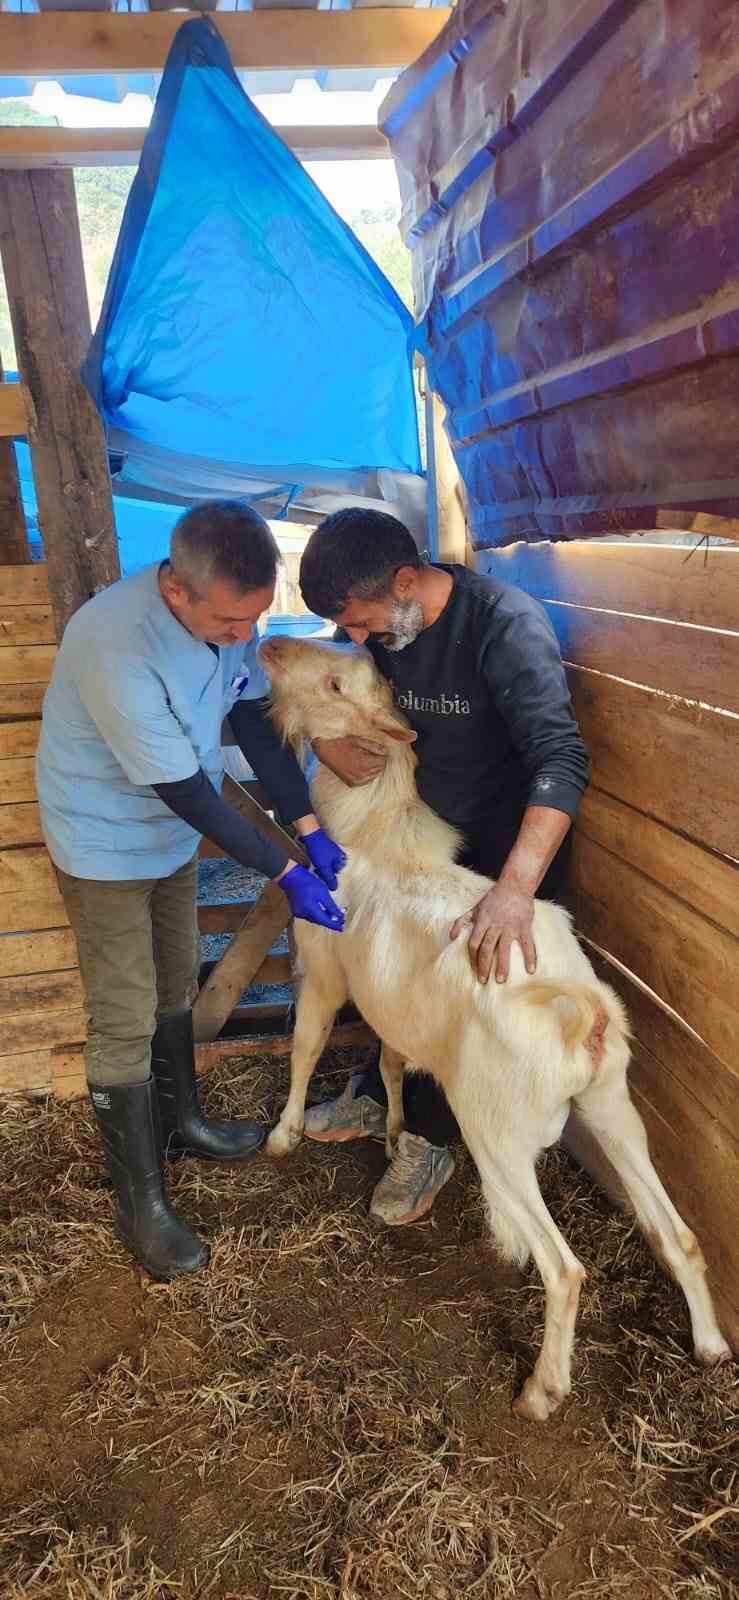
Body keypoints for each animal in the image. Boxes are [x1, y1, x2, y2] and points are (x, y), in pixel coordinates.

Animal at [259, 630, 726, 1420]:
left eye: (334, 683)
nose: (269, 647)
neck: (371, 832)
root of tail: (578, 1009)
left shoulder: (322, 972)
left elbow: (304, 1047)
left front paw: (283, 1135)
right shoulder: (394, 1008)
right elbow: (389, 1063)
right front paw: (391, 1132)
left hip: (498, 1135)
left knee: (565, 1270)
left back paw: (541, 1391)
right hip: (612, 1107)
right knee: (678, 1234)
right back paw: (711, 1346)